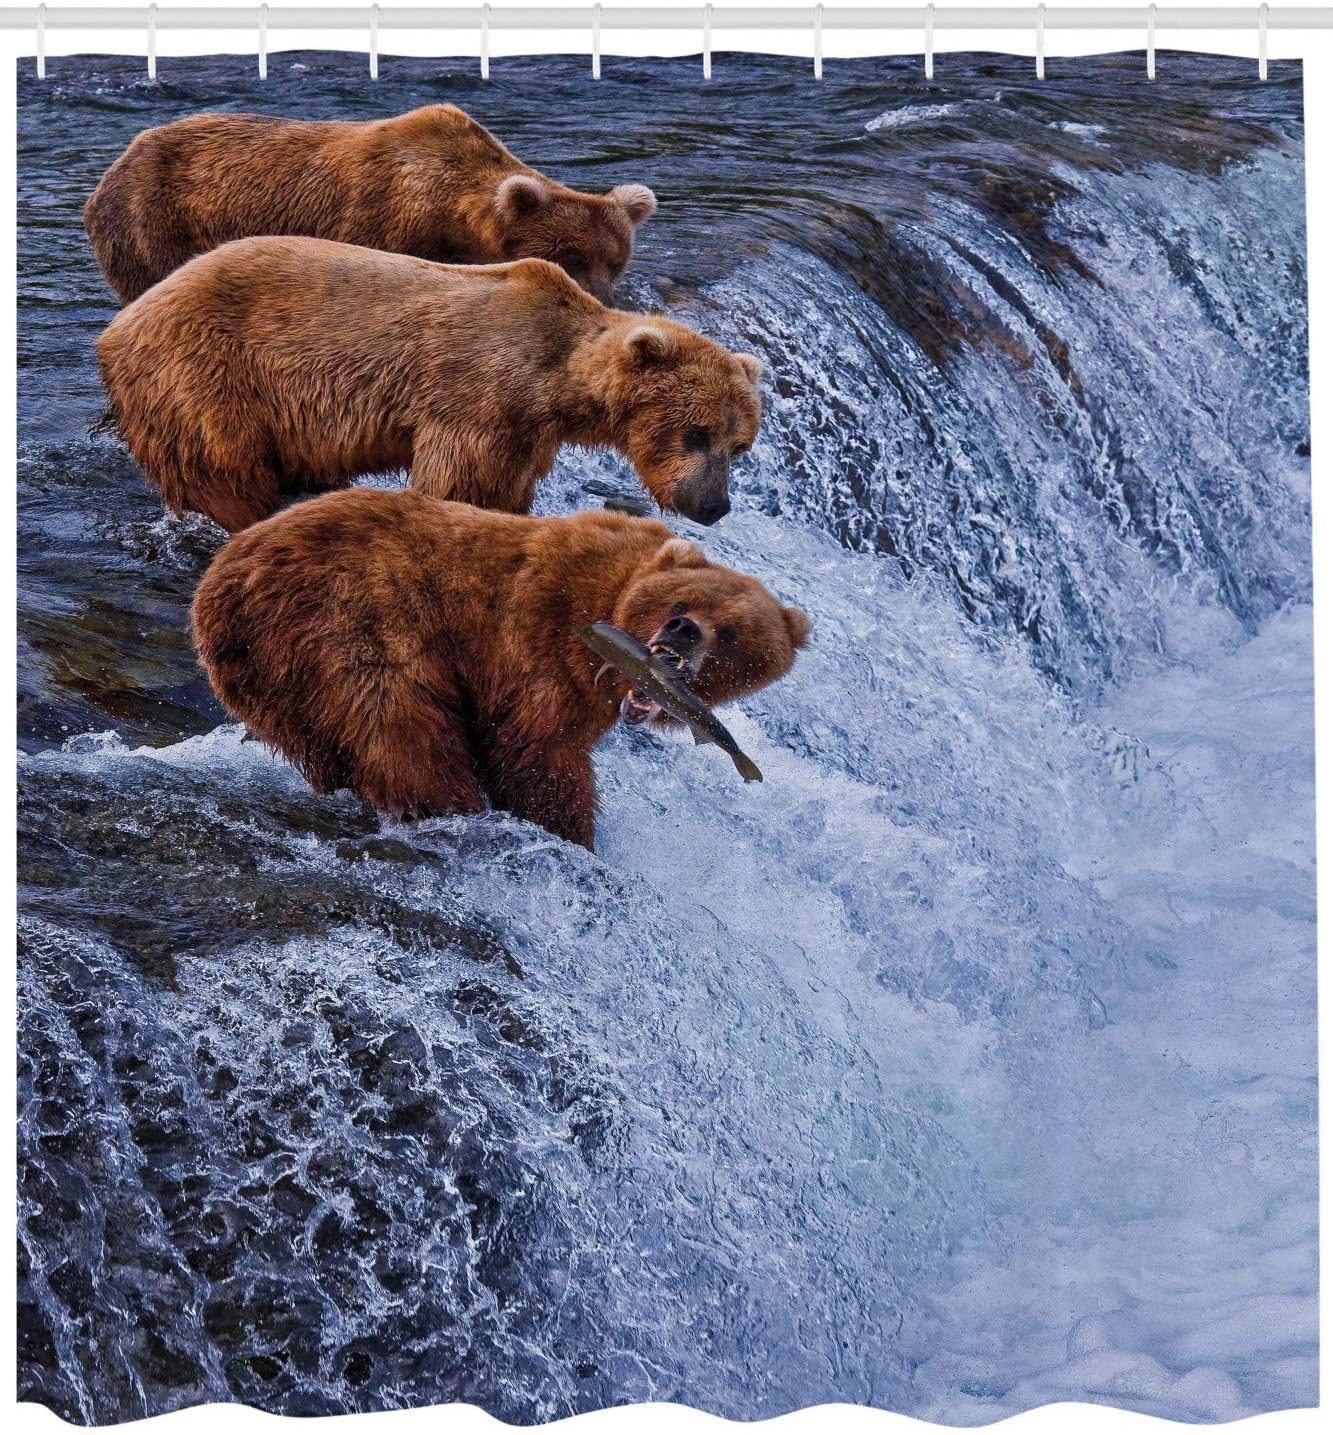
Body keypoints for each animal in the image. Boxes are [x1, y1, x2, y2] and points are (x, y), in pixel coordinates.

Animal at [97, 236, 763, 534]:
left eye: (739, 445)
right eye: (696, 432)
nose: (714, 506)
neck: (551, 380)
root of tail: (115, 329)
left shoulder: (524, 433)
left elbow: (505, 487)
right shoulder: (474, 401)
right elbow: (457, 480)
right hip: (207, 375)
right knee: (224, 467)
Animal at [191, 489, 811, 850]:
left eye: (732, 633)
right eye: (682, 601)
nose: (684, 630)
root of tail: (219, 584)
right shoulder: (541, 637)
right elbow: (536, 751)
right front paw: (572, 833)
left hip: (271, 675)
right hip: (349, 610)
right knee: (398, 721)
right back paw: (445, 807)